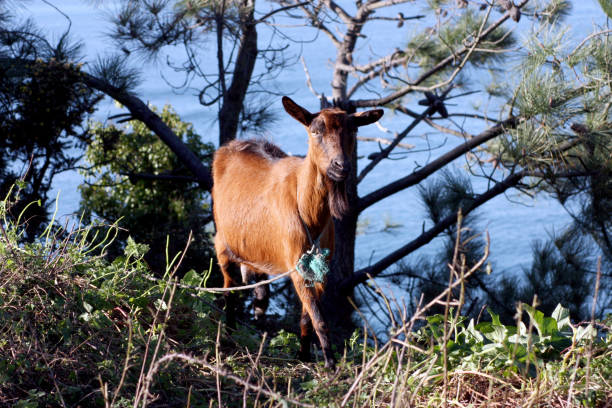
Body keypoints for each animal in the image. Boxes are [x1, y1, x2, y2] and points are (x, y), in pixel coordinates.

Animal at [210, 97, 382, 368]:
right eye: (315, 131)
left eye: (354, 130)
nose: (341, 166)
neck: (307, 209)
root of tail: (230, 146)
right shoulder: (295, 264)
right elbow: (319, 318)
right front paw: (330, 364)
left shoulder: (321, 267)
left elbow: (307, 316)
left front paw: (304, 355)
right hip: (222, 242)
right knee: (230, 290)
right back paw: (228, 334)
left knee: (260, 295)